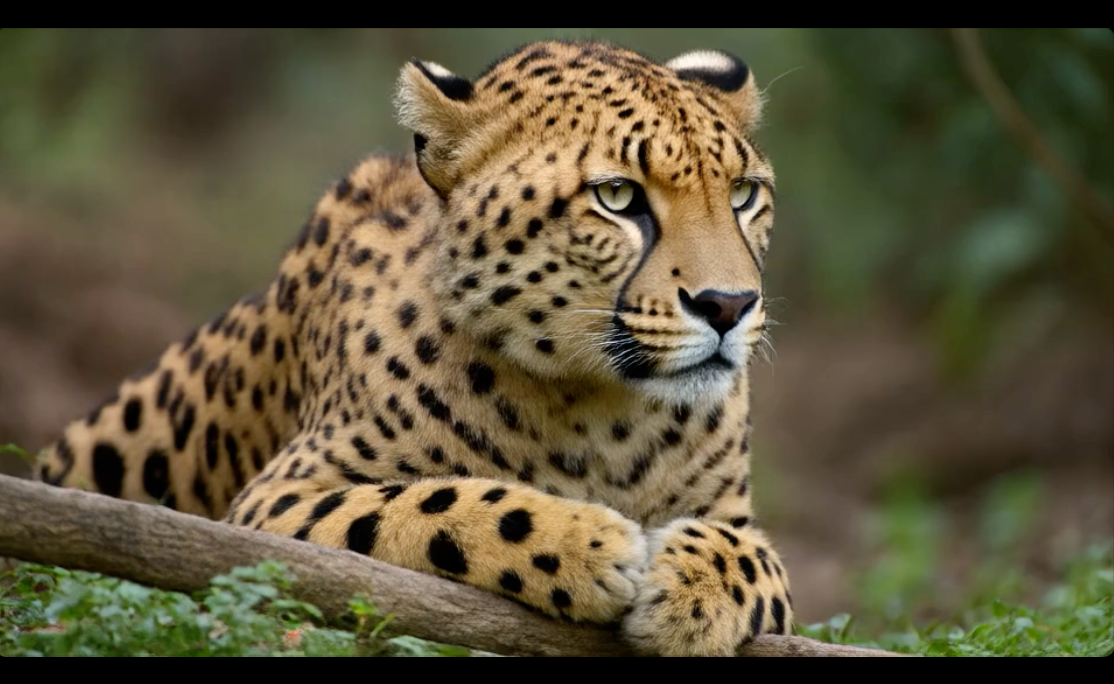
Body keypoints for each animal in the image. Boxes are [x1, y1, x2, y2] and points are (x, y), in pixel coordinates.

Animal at [33, 40, 792, 656]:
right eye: (616, 196)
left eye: (743, 194)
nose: (729, 305)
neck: (605, 414)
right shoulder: (271, 507)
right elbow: (429, 505)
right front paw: (589, 544)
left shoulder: (737, 521)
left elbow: (761, 564)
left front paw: (693, 592)